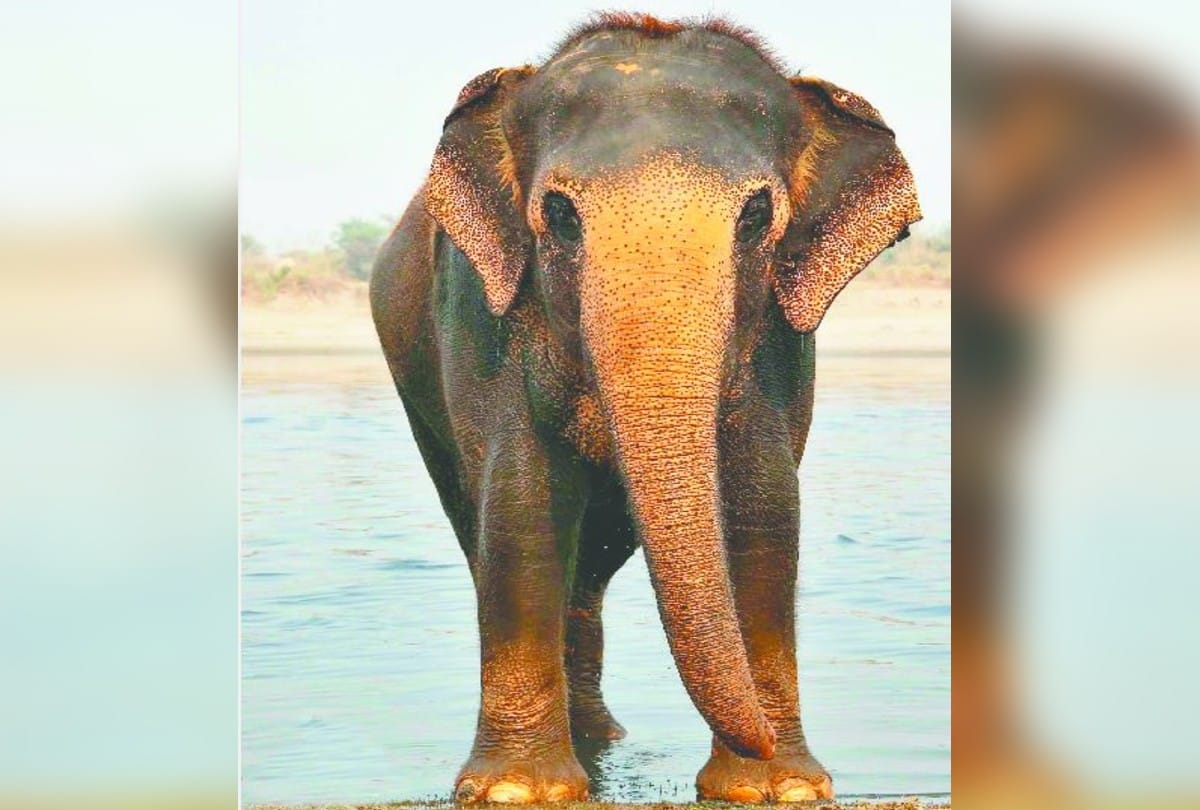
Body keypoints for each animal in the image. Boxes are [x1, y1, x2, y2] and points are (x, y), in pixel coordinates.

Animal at [370, 12, 920, 804]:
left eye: (756, 216)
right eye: (560, 216)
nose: (755, 734)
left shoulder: (783, 336)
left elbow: (765, 500)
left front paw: (778, 787)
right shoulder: (479, 308)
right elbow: (520, 499)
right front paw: (516, 791)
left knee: (593, 564)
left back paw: (603, 740)